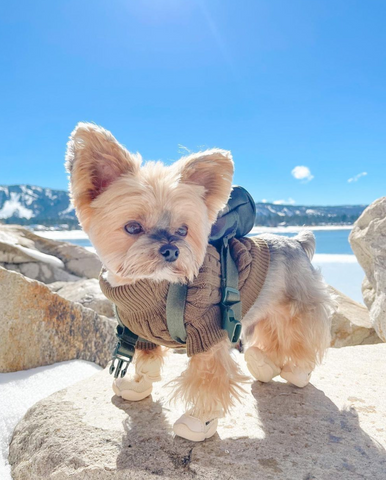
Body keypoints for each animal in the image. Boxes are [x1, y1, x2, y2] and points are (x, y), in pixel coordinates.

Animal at [65, 122, 332, 440]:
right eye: (132, 227)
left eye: (183, 230)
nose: (171, 249)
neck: (151, 287)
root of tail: (297, 242)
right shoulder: (142, 331)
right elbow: (147, 360)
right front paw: (137, 386)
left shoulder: (207, 332)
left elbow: (208, 378)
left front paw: (199, 421)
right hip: (267, 310)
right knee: (273, 340)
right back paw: (263, 365)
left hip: (297, 309)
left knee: (301, 340)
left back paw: (297, 372)